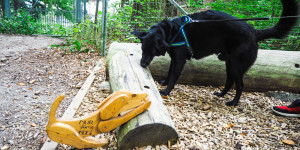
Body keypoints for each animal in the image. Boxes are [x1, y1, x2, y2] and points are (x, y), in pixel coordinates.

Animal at [132, 0, 298, 106]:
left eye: (152, 50)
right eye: (142, 49)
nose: (142, 64)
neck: (172, 31)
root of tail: (254, 32)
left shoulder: (180, 60)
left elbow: (174, 77)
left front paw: (166, 91)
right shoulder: (174, 59)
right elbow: (169, 72)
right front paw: (165, 83)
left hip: (236, 66)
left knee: (240, 85)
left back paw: (233, 102)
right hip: (229, 64)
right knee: (229, 82)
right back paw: (221, 94)